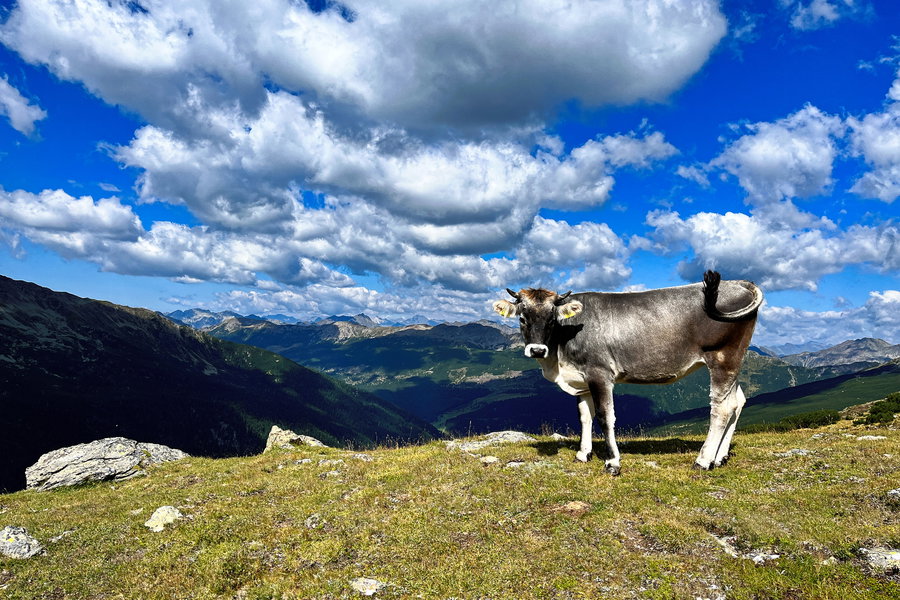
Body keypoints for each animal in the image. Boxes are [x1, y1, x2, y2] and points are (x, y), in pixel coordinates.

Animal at [492, 271, 763, 474]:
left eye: (551, 318)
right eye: (522, 318)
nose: (537, 350)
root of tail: (737, 282)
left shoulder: (599, 373)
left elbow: (604, 416)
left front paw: (612, 462)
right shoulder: (581, 379)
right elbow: (584, 417)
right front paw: (583, 453)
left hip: (722, 357)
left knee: (721, 408)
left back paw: (703, 460)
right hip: (735, 360)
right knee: (737, 402)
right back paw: (720, 457)